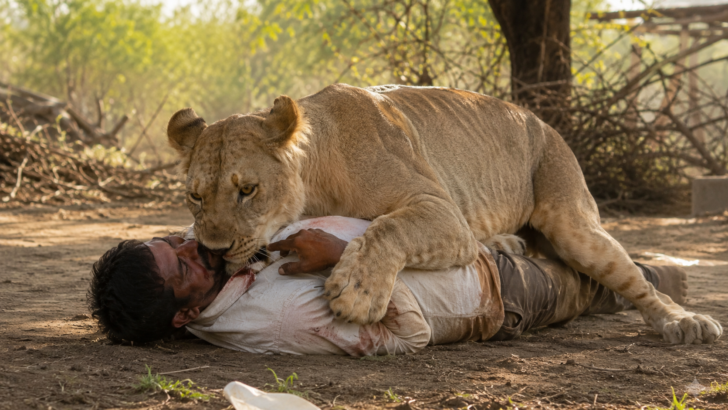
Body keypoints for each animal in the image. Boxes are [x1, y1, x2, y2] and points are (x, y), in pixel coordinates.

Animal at [167, 83, 722, 344]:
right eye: (195, 196)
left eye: (247, 190)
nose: (213, 251)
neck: (319, 177)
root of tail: (541, 120)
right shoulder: (456, 222)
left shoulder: (442, 211)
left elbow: (387, 228)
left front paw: (357, 294)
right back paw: (507, 243)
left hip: (572, 218)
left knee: (632, 280)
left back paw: (684, 321)